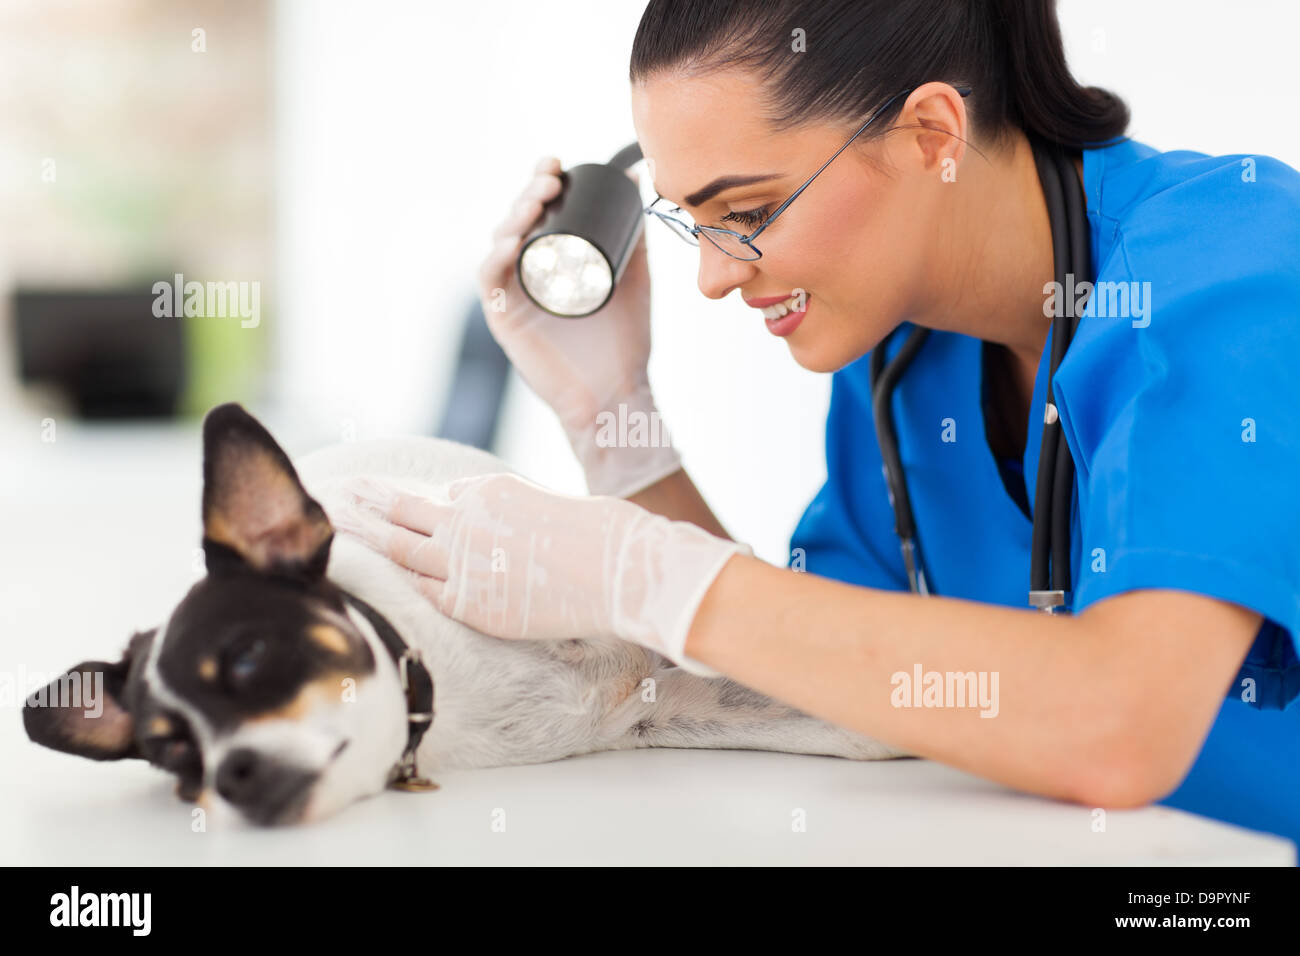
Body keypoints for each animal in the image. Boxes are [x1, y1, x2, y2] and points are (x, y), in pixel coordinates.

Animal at [27, 403, 904, 822]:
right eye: (175, 755)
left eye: (248, 656)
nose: (232, 775)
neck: (440, 690)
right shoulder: (671, 711)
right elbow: (853, 731)